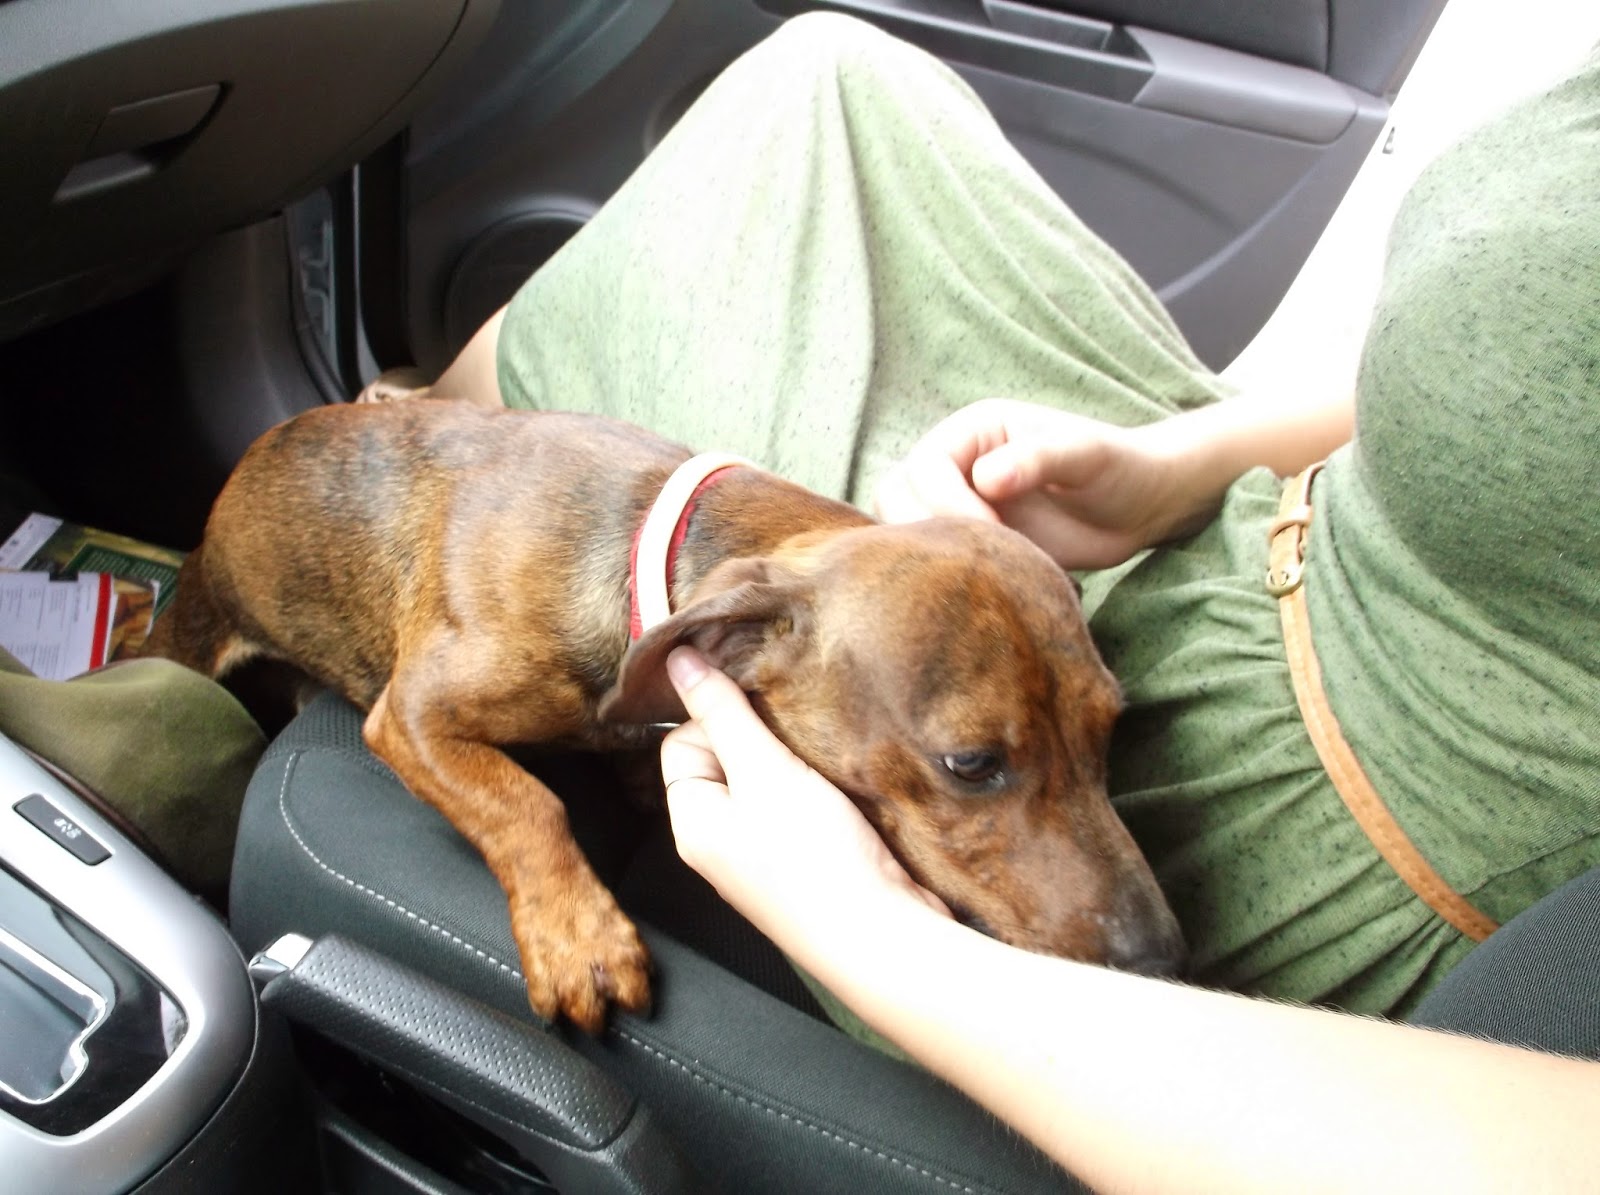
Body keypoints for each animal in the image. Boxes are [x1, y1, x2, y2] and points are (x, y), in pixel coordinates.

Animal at [148, 399, 1184, 1032]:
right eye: (971, 763)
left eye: (1109, 731)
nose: (1162, 960)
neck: (640, 552)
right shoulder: (411, 717)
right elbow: (527, 804)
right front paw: (581, 939)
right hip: (191, 641)